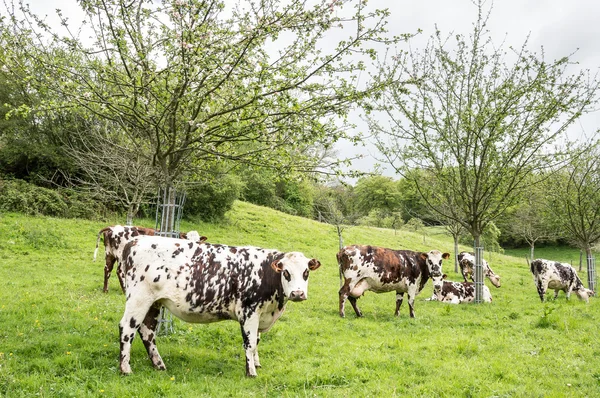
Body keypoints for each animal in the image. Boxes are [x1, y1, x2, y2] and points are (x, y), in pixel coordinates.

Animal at [119, 236, 322, 376]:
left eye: (306, 272)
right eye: (286, 272)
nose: (297, 293)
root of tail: (135, 241)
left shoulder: (260, 314)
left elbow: (257, 341)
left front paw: (256, 363)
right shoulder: (249, 312)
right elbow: (250, 344)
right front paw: (251, 372)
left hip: (154, 303)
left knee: (147, 332)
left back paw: (159, 365)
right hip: (139, 298)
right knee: (127, 328)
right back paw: (125, 368)